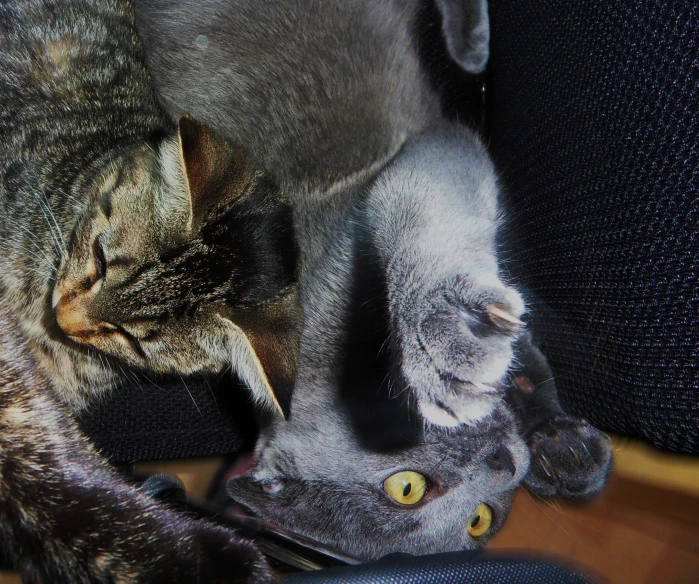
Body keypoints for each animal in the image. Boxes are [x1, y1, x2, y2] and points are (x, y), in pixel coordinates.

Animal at [134, 0, 616, 560]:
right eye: (480, 520)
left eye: (404, 487)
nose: (502, 462)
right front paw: (554, 443)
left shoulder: (410, 167)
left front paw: (452, 346)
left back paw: (471, 48)